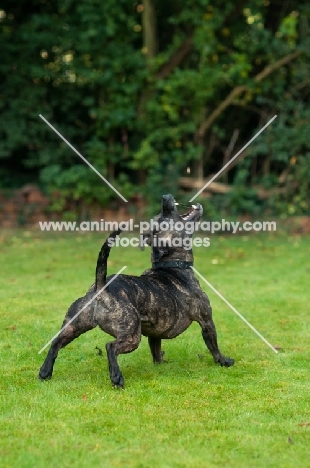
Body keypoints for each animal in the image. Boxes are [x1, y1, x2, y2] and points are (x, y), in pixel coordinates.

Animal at [38, 194, 234, 388]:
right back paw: (117, 378)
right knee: (110, 347)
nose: (165, 197)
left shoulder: (155, 333)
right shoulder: (206, 321)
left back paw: (45, 372)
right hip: (131, 335)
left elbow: (156, 351)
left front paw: (160, 365)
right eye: (164, 218)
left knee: (56, 342)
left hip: (73, 326)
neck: (171, 264)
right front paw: (223, 361)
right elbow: (213, 346)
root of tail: (101, 287)